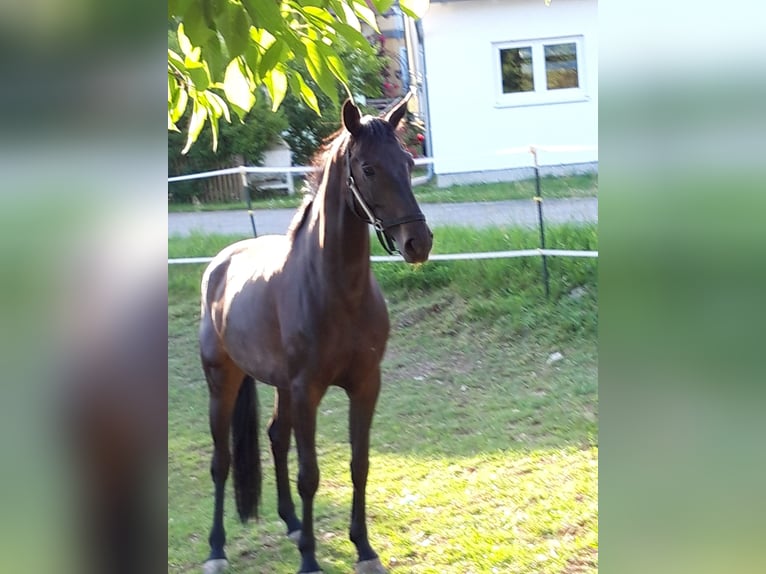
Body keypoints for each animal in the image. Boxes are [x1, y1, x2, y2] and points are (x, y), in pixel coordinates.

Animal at [198, 95, 433, 574]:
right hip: (223, 381)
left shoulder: (364, 385)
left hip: (281, 388)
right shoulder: (309, 389)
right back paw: (216, 549)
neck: (336, 289)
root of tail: (219, 265)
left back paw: (290, 523)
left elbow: (359, 464)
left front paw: (364, 549)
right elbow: (310, 475)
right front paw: (309, 559)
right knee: (222, 461)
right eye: (368, 168)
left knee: (275, 438)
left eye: (407, 161)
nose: (418, 242)